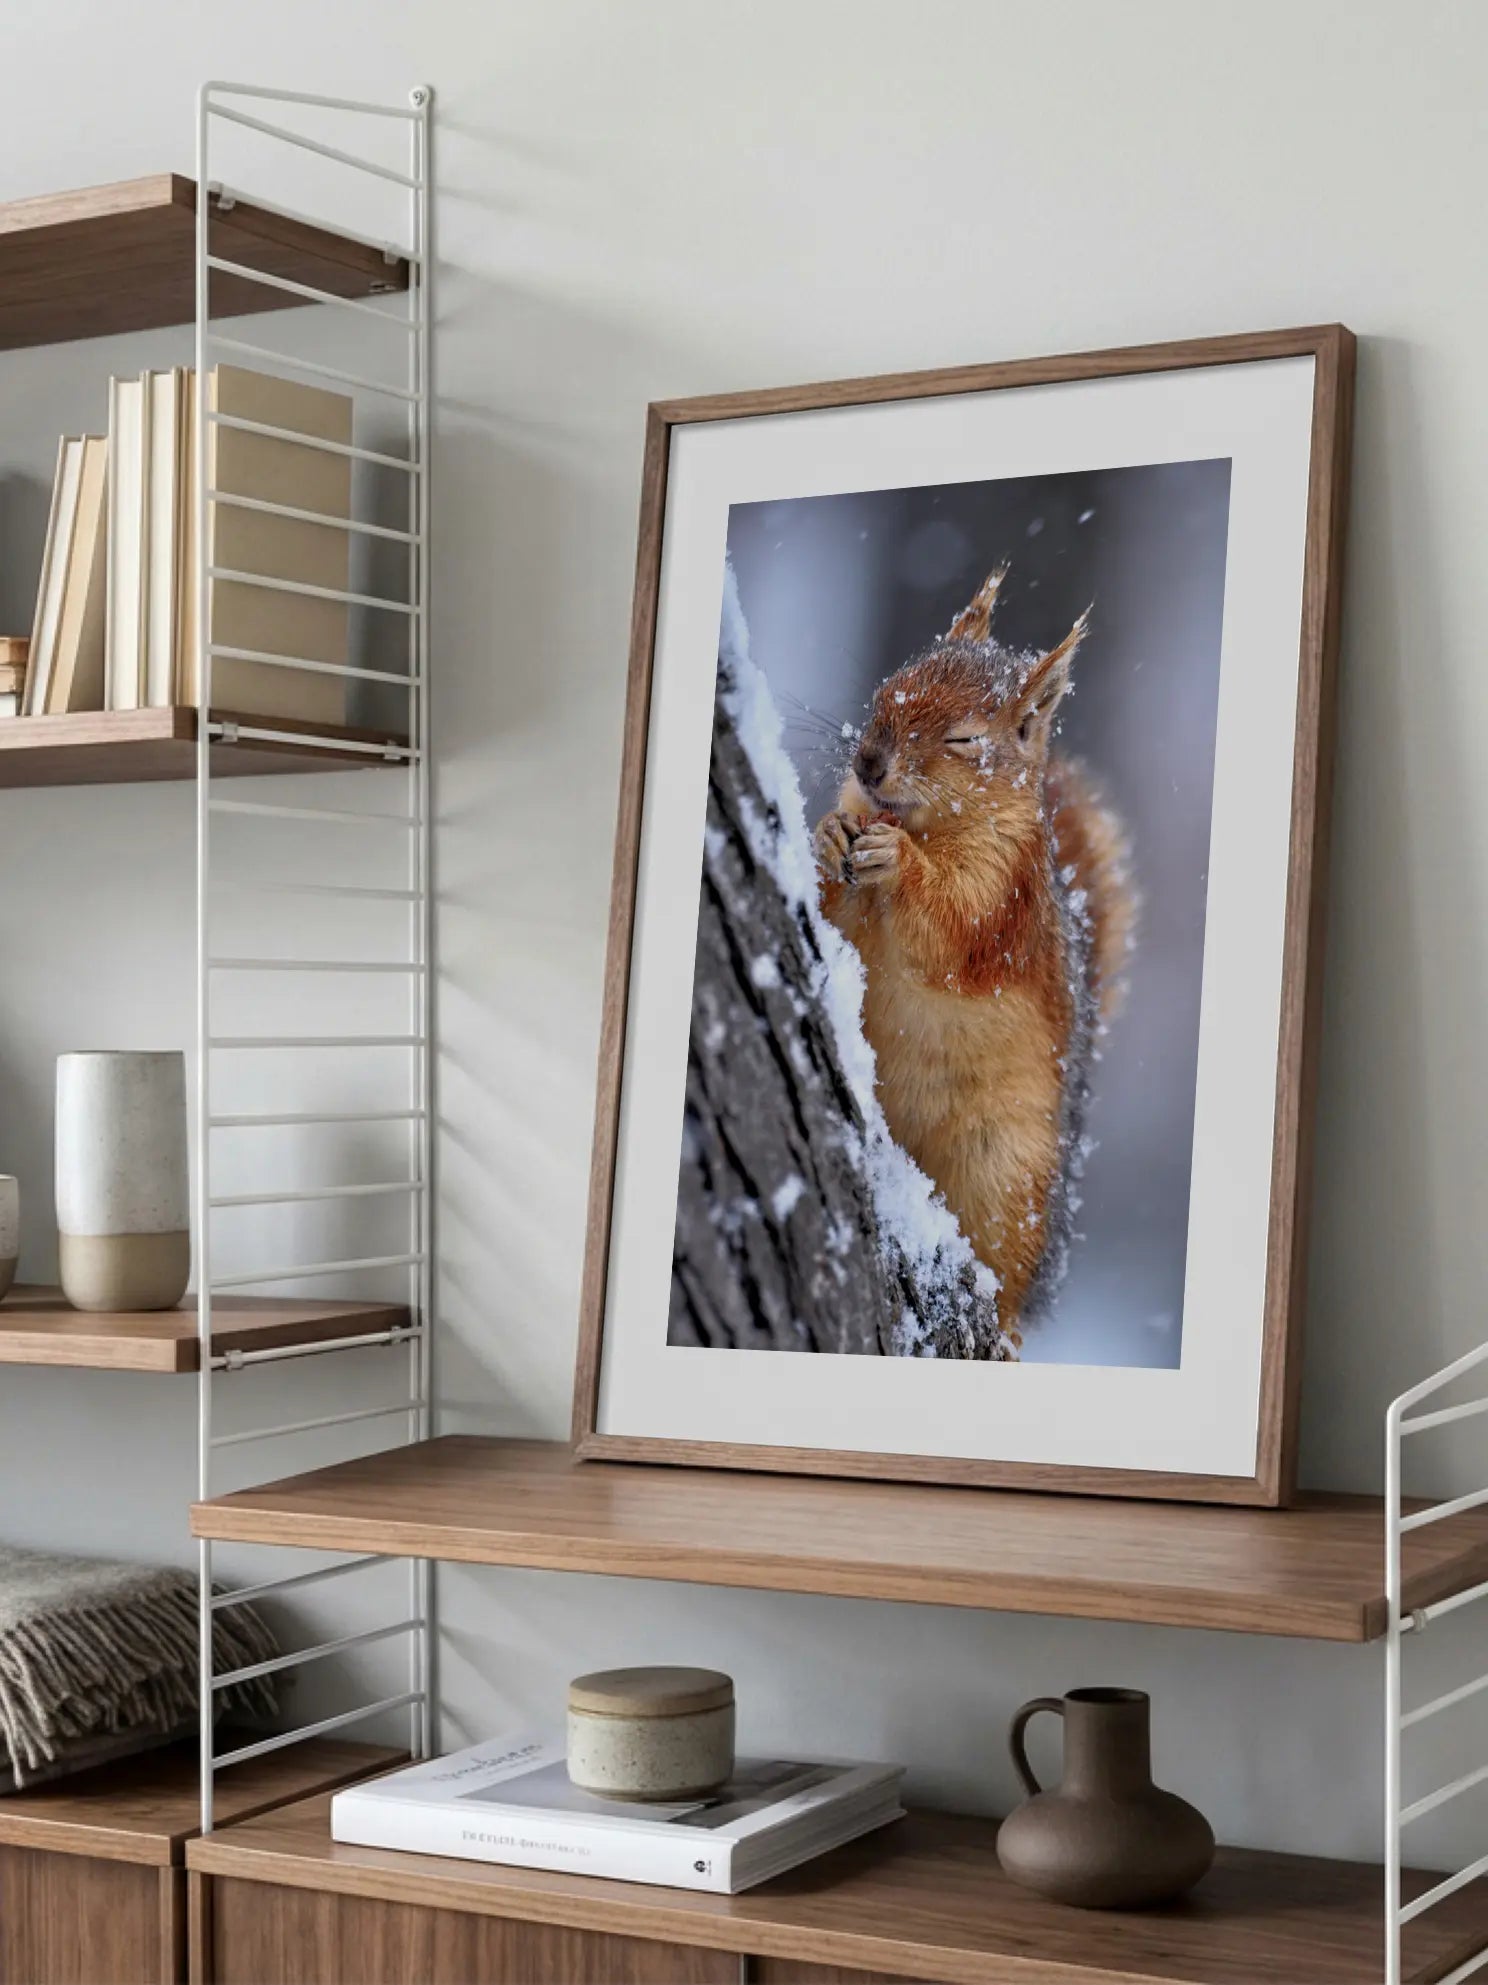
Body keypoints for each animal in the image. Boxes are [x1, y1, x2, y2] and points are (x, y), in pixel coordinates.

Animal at [813, 565, 1135, 1340]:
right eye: (890, 684)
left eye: (963, 737)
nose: (868, 762)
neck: (925, 825)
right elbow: (836, 910)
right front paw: (832, 832)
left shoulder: (1002, 899)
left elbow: (950, 927)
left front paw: (899, 864)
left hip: (1004, 1170)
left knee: (1007, 1276)